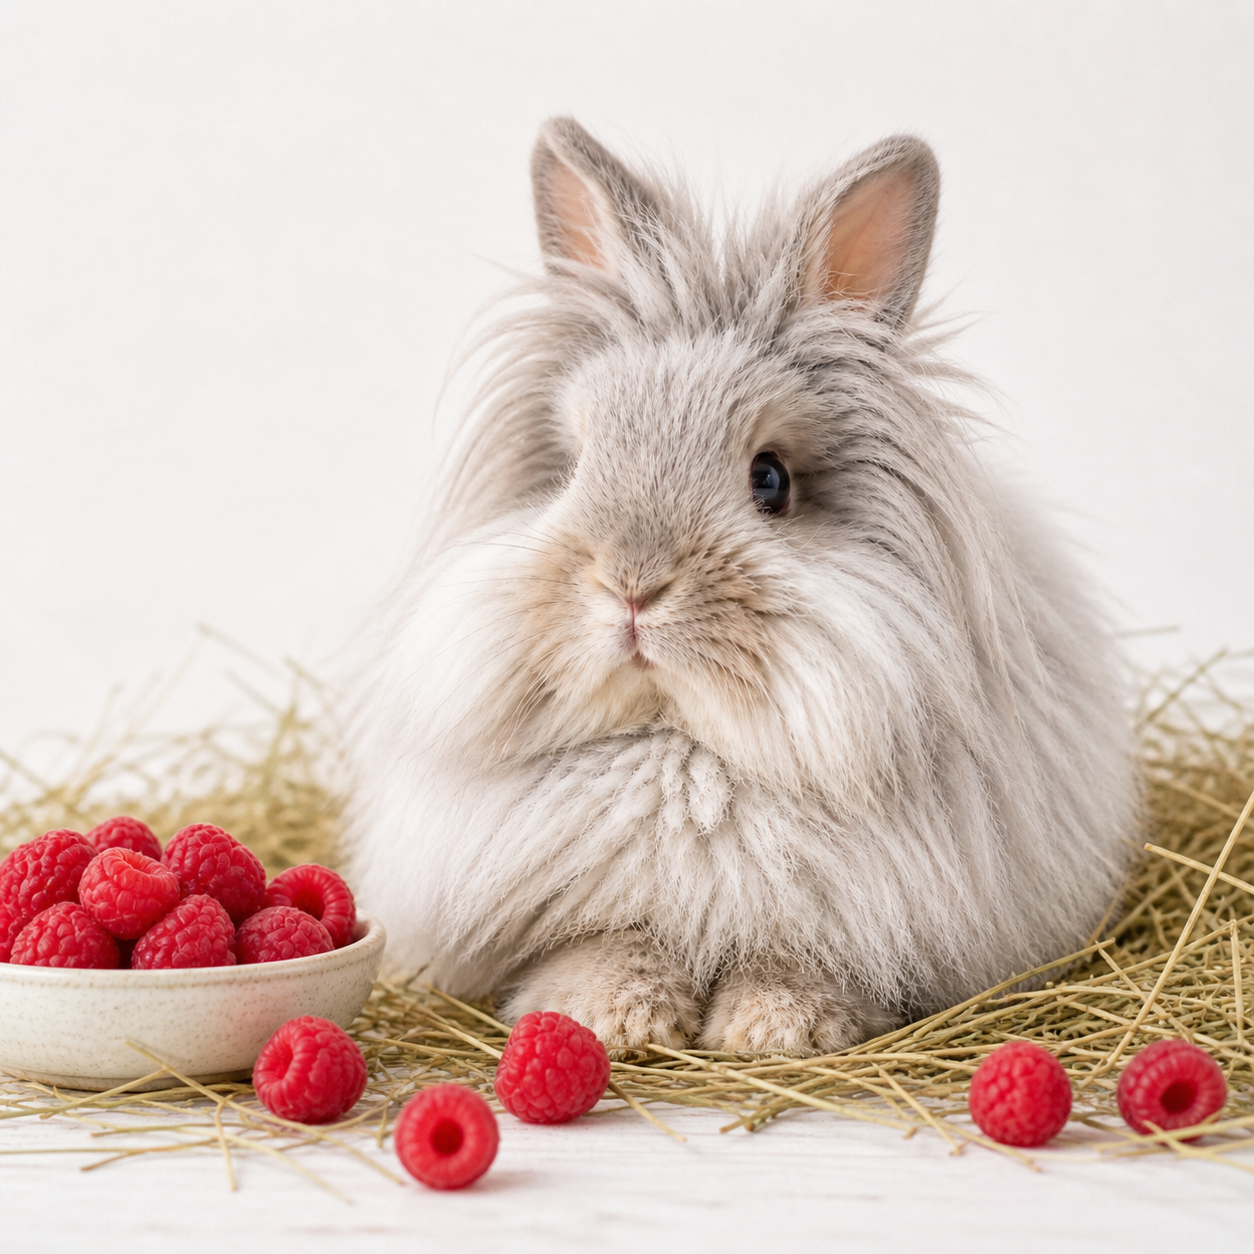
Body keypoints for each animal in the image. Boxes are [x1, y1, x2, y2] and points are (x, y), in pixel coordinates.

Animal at [343, 118, 1138, 1055]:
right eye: (572, 467)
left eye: (771, 480)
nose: (631, 586)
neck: (681, 751)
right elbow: (604, 945)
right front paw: (612, 1017)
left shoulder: (846, 919)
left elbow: (799, 961)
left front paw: (774, 1031)